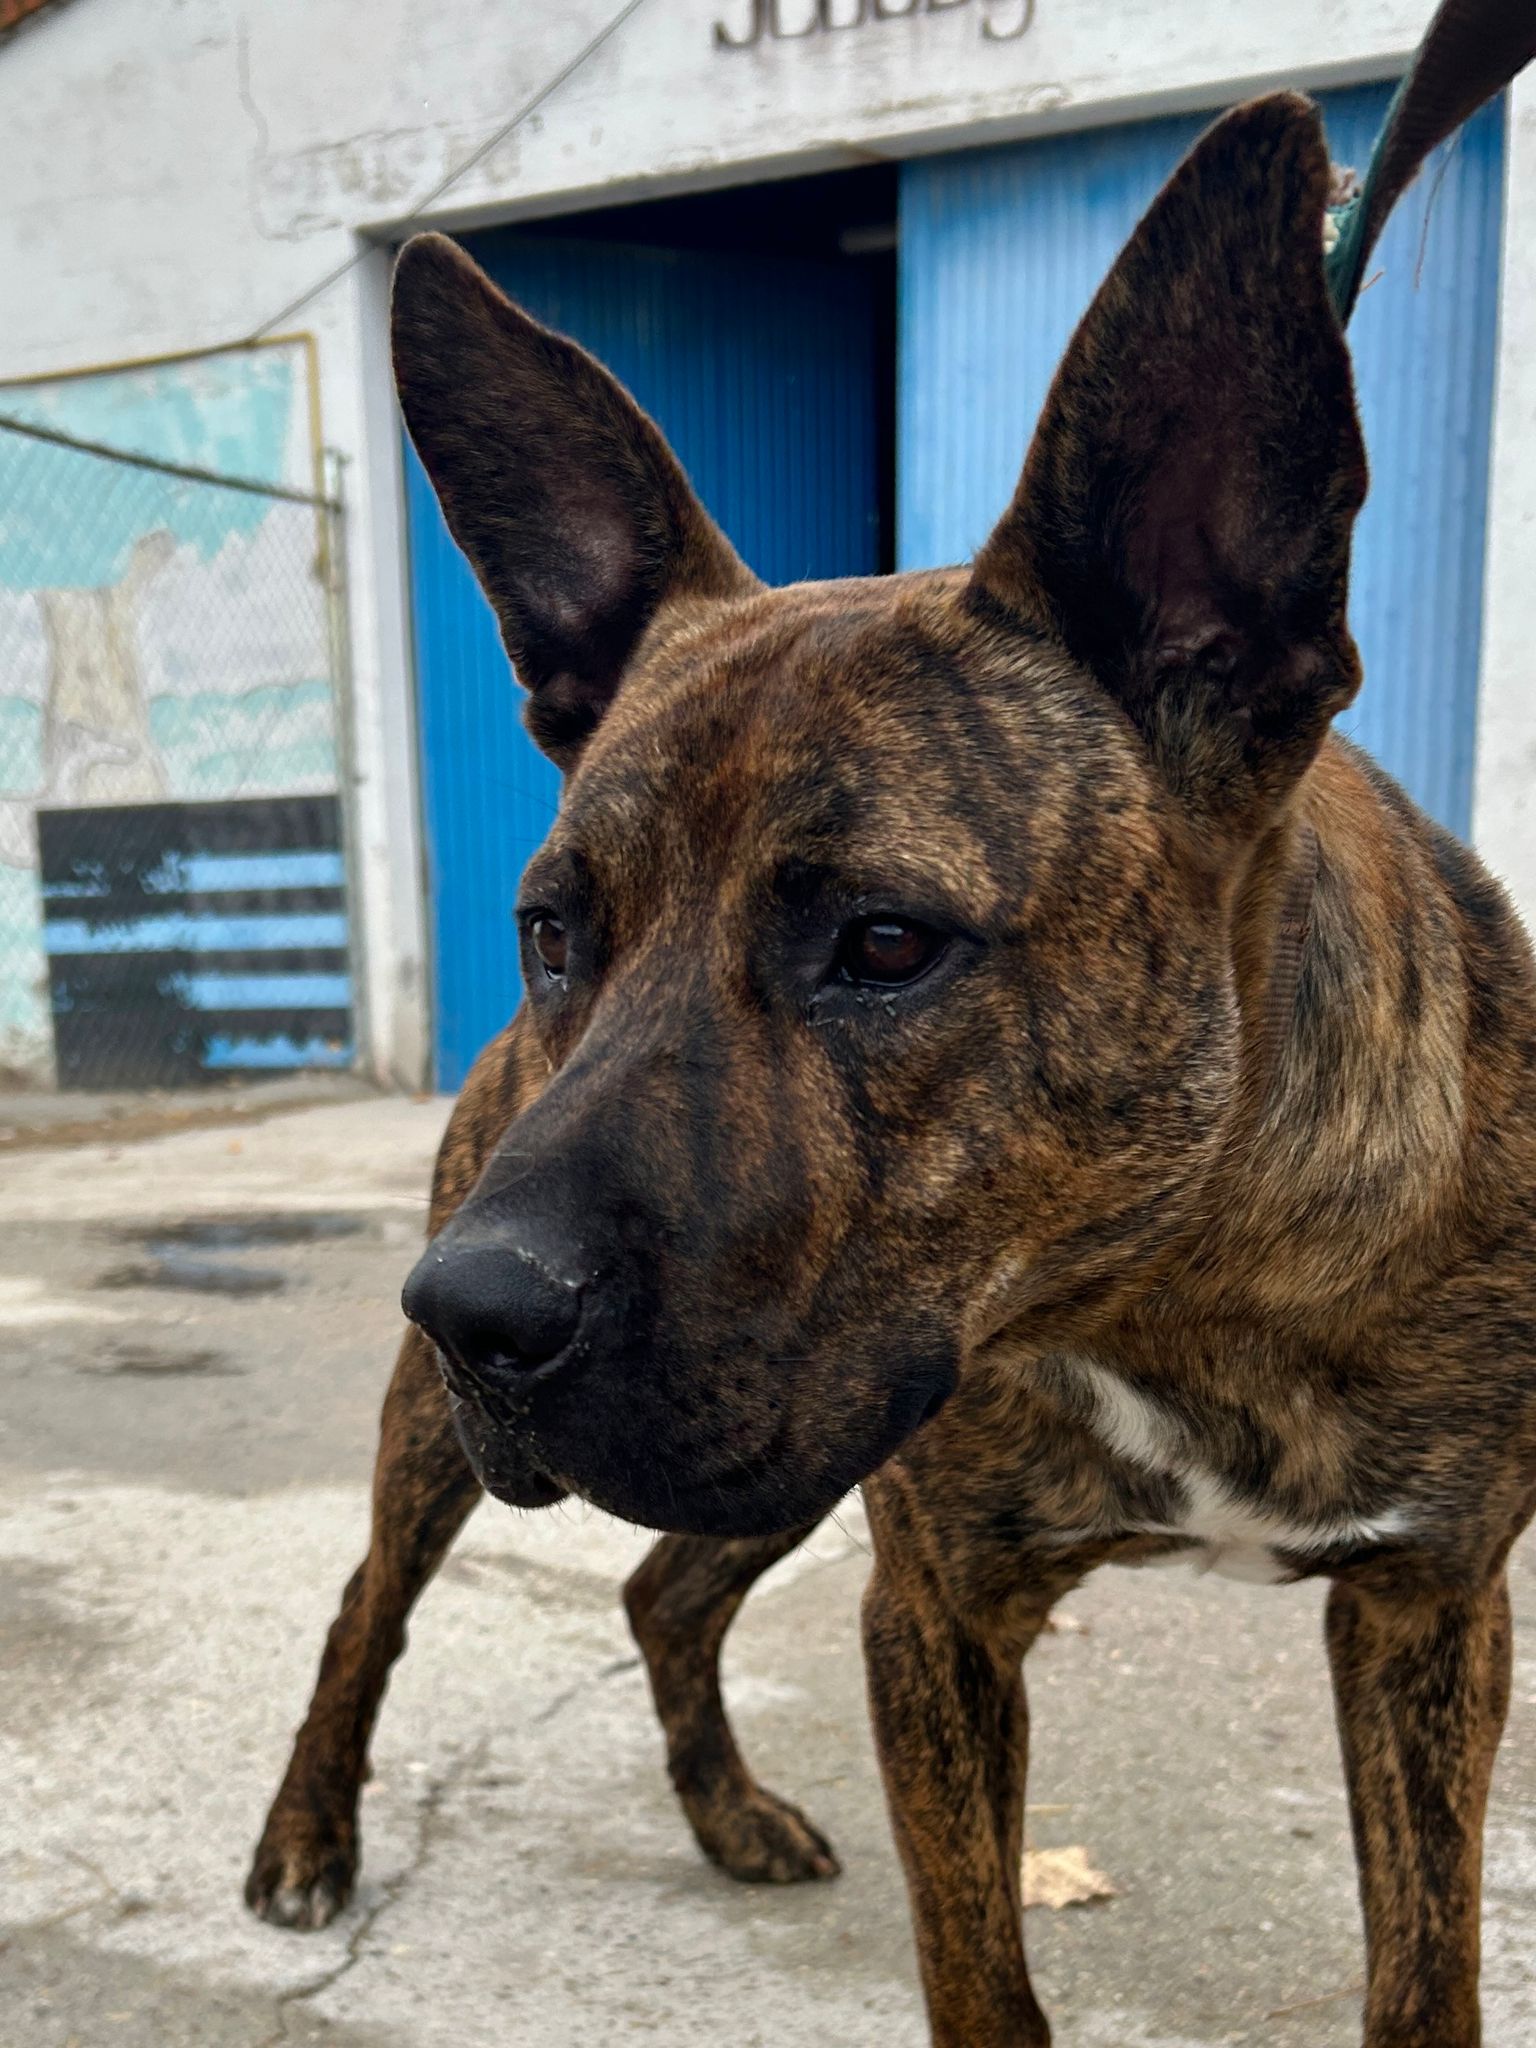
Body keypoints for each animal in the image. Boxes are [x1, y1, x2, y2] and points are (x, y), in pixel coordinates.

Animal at [249, 21, 1536, 2044]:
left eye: (883, 942)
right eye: (552, 931)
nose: (471, 1310)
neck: (1175, 1285)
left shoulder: (1428, 1609)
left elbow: (1427, 1972)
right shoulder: (937, 1610)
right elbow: (981, 1976)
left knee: (667, 1592)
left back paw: (727, 1809)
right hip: (477, 1444)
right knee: (367, 1607)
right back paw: (309, 1834)